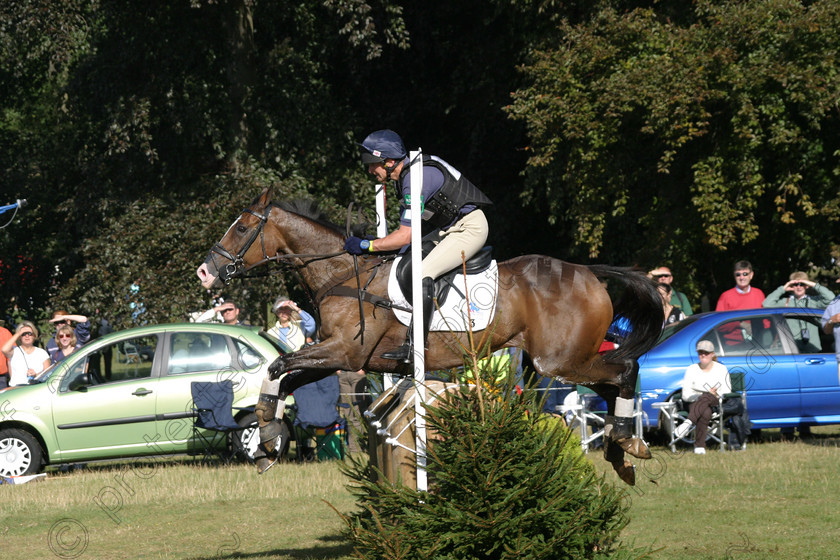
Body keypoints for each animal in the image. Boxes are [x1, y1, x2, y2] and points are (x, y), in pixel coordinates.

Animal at [195, 189, 664, 486]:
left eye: (241, 229)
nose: (204, 272)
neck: (343, 273)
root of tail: (589, 272)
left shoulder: (345, 353)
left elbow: (277, 366)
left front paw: (265, 430)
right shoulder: (337, 358)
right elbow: (285, 376)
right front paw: (270, 440)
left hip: (561, 361)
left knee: (626, 368)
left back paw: (628, 442)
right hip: (555, 361)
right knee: (611, 384)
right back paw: (622, 452)